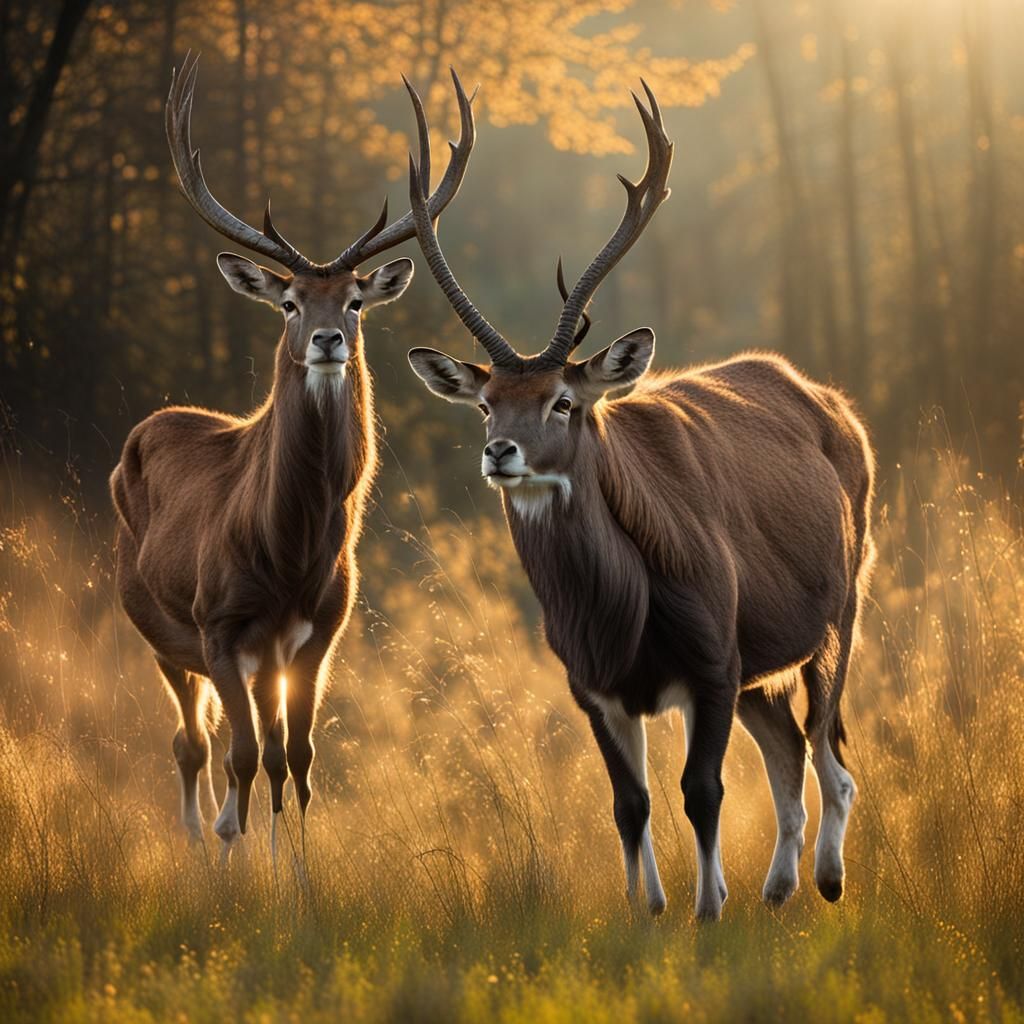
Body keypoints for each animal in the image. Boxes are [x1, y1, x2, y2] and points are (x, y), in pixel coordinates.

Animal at [110, 54, 477, 860]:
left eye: (355, 302)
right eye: (289, 303)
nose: (326, 339)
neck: (286, 548)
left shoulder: (320, 632)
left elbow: (299, 759)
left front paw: (299, 866)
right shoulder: (219, 624)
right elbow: (244, 757)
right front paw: (236, 854)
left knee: (246, 746)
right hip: (156, 625)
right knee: (193, 742)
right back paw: (199, 843)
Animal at [405, 82, 876, 921]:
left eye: (563, 402)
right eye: (486, 404)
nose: (501, 452)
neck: (620, 617)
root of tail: (839, 409)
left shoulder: (713, 656)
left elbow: (702, 791)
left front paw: (707, 908)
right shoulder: (593, 685)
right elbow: (631, 803)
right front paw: (648, 909)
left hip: (843, 607)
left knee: (830, 752)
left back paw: (825, 879)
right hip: (763, 661)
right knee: (791, 755)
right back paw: (778, 888)